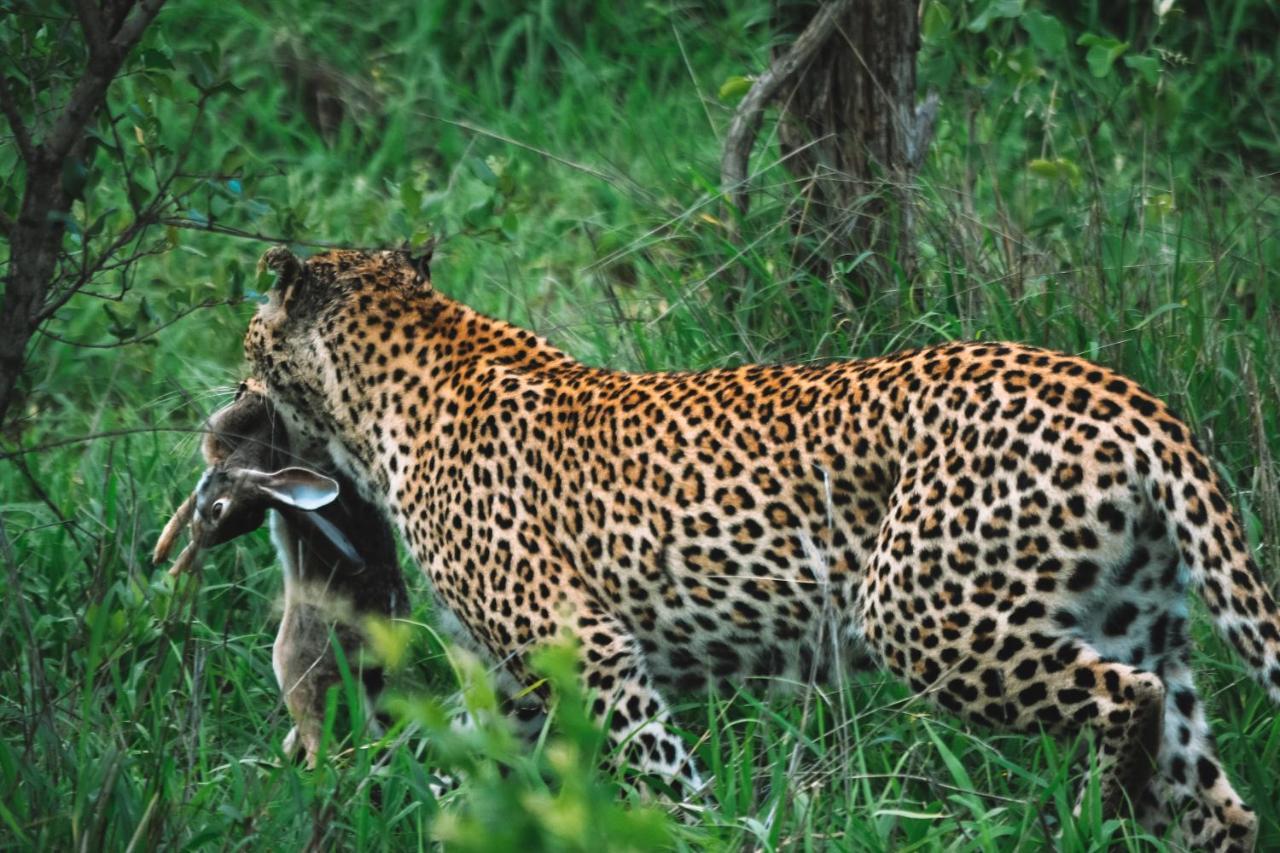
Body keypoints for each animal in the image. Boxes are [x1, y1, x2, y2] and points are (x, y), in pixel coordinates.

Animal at [232, 242, 1280, 845]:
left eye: (249, 336)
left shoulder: (585, 644)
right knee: (1217, 794)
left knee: (1125, 703)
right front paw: (373, 801)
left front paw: (703, 831)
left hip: (923, 616)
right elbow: (460, 749)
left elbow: (656, 766)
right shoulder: (520, 670)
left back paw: (1104, 807)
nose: (234, 398)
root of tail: (1130, 398)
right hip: (1141, 618)